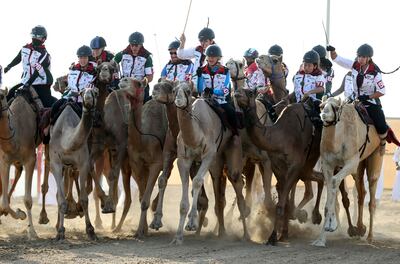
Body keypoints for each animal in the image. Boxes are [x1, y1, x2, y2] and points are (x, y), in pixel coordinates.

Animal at [0, 87, 44, 239]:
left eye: (1, 96)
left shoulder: (31, 159)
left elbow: (28, 200)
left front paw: (32, 231)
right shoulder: (5, 160)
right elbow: (4, 203)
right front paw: (19, 213)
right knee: (17, 172)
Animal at [49, 87, 98, 240]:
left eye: (95, 92)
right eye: (82, 93)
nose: (88, 99)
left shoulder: (83, 163)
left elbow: (84, 199)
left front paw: (90, 230)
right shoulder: (55, 163)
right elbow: (61, 200)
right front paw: (60, 232)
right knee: (60, 193)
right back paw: (59, 224)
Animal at [173, 81, 248, 244]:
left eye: (188, 91)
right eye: (174, 90)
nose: (179, 101)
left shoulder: (208, 155)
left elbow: (197, 182)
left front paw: (191, 223)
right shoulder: (183, 160)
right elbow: (185, 193)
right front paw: (178, 237)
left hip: (232, 149)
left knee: (238, 188)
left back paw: (246, 235)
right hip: (216, 164)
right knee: (219, 192)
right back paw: (221, 232)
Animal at [236, 87, 324, 244]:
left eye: (250, 92)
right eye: (239, 90)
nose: (237, 93)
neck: (280, 138)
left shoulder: (294, 167)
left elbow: (281, 203)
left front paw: (272, 237)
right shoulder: (277, 168)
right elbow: (283, 202)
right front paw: (282, 234)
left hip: (308, 161)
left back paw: (315, 216)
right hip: (305, 169)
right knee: (320, 178)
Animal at [310, 97, 382, 248]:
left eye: (336, 107)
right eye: (321, 106)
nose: (324, 114)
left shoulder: (351, 163)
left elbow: (334, 181)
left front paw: (330, 226)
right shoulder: (328, 164)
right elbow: (331, 187)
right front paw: (321, 239)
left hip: (376, 155)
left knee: (371, 195)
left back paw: (370, 237)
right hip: (360, 166)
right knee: (361, 192)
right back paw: (359, 228)